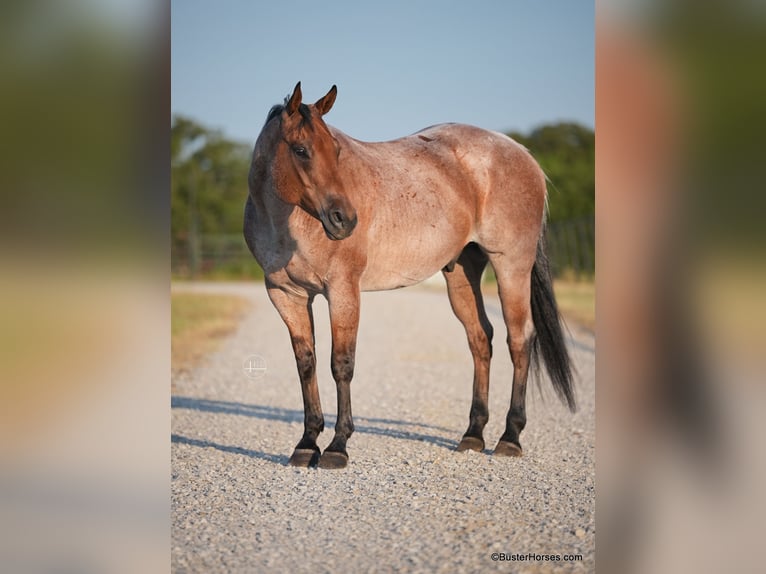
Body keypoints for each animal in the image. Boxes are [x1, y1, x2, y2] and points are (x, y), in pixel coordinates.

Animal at [246, 81, 576, 470]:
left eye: (337, 150)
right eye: (301, 150)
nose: (345, 219)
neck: (287, 223)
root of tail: (522, 154)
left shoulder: (343, 290)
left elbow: (341, 364)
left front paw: (338, 446)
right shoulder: (286, 295)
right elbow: (306, 365)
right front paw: (307, 443)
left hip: (511, 265)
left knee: (519, 339)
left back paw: (510, 437)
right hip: (462, 272)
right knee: (481, 339)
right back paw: (473, 434)